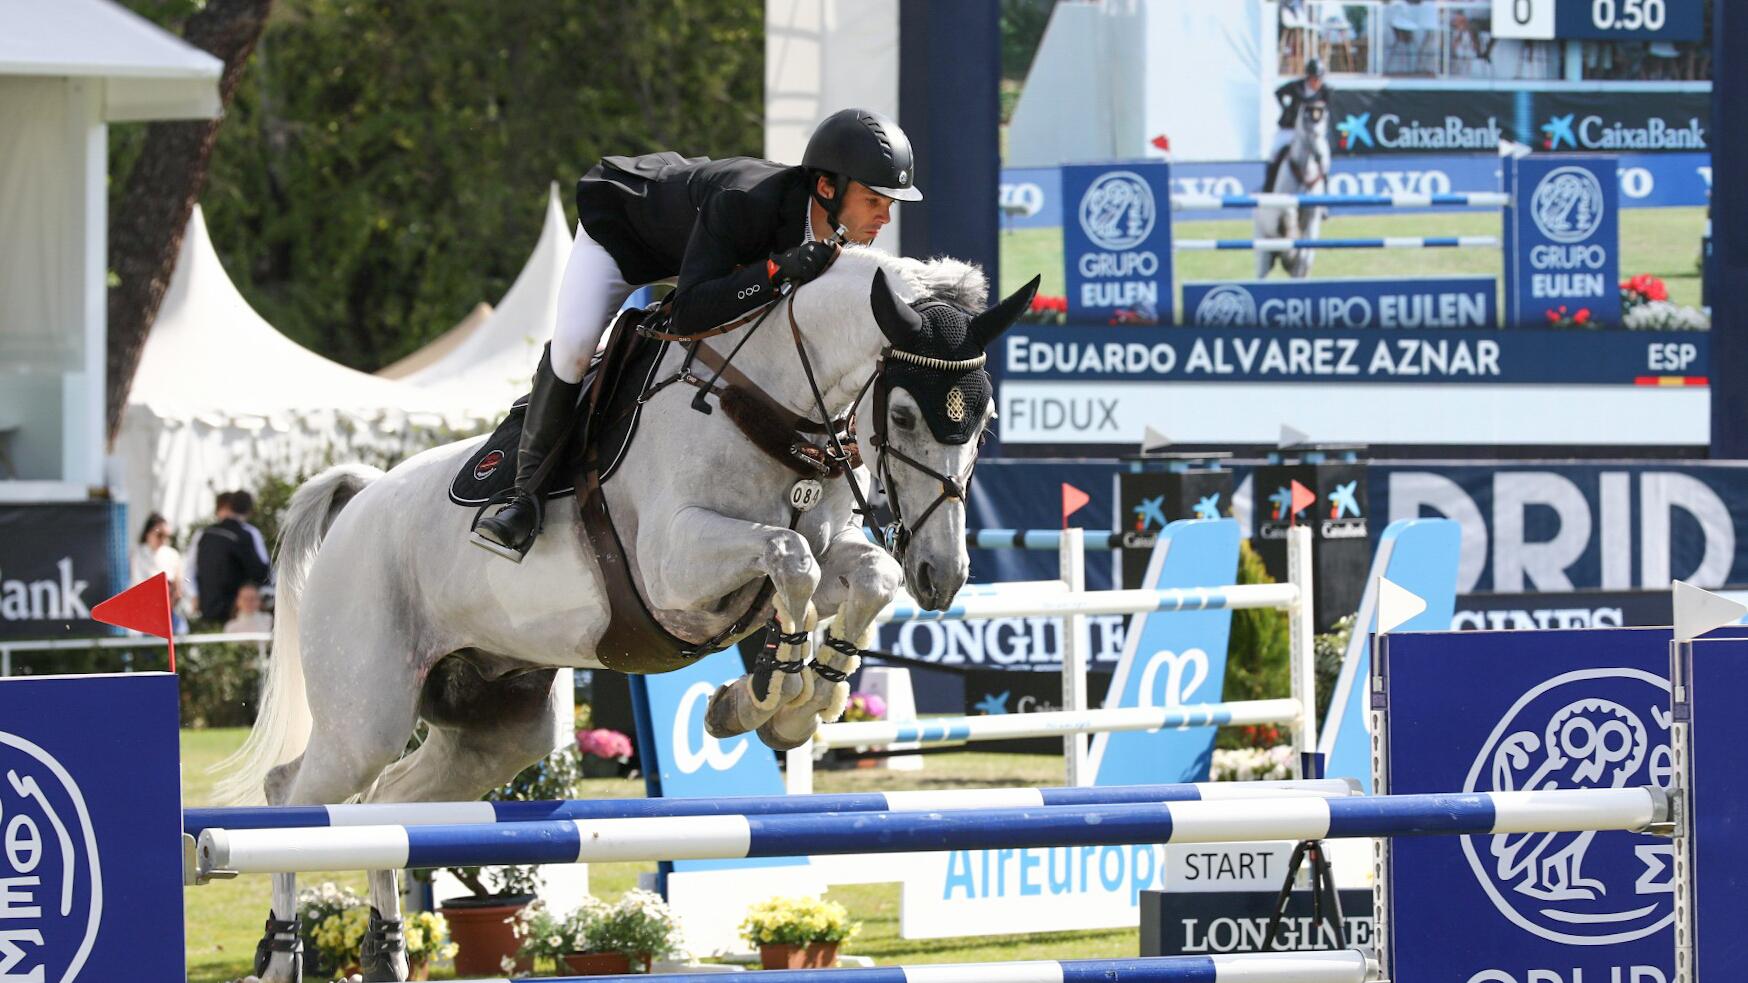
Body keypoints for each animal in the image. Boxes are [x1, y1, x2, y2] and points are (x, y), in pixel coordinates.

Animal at [218, 246, 1034, 979]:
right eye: (903, 413)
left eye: (987, 415)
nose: (944, 575)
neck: (767, 407)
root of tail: (361, 500)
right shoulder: (676, 569)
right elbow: (790, 558)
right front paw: (768, 695)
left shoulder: (819, 555)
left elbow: (865, 574)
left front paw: (792, 701)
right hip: (366, 714)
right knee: (293, 794)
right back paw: (283, 952)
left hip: (497, 730)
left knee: (384, 808)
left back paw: (386, 953)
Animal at [1258, 101, 1321, 278]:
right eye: (1306, 126)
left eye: (1322, 130)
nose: (1319, 156)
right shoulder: (1286, 205)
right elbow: (1290, 218)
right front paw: (1291, 252)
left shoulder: (1313, 214)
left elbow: (1306, 252)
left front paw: (1300, 258)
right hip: (1263, 250)